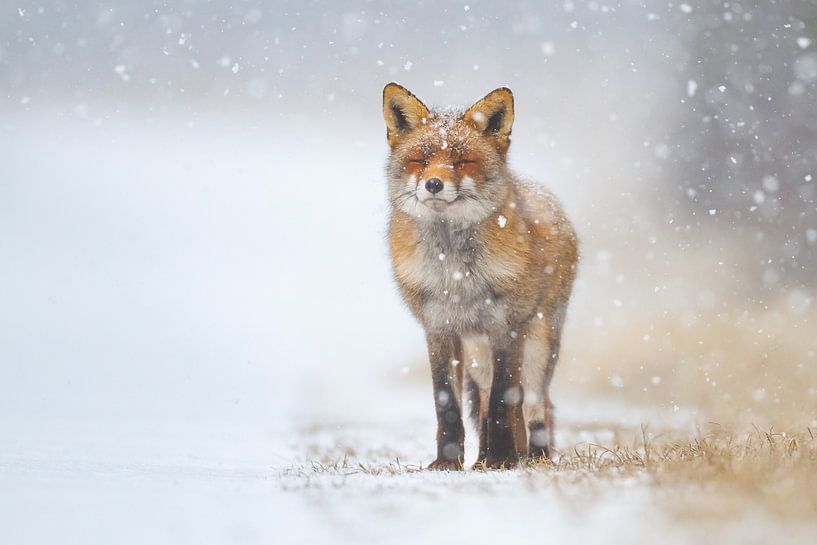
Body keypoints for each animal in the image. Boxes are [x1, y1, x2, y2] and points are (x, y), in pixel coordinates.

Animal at [382, 83, 579, 470]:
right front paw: (448, 462)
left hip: (537, 344)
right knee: (486, 401)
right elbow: (448, 402)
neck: (455, 274)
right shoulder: (439, 329)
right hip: (477, 353)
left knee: (535, 404)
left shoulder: (506, 327)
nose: (433, 184)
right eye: (421, 160)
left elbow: (506, 399)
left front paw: (503, 459)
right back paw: (484, 457)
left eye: (462, 162)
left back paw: (532, 456)